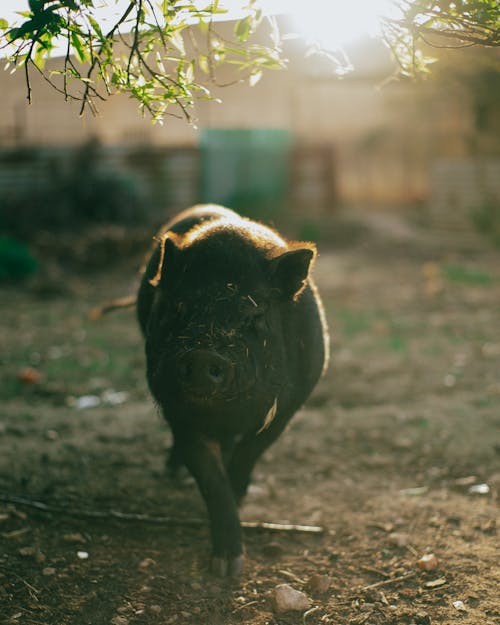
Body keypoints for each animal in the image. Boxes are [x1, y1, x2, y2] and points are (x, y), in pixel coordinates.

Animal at [137, 205, 330, 576]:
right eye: (179, 308)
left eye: (253, 315)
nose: (201, 356)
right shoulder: (177, 411)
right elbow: (211, 479)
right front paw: (226, 568)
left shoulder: (286, 409)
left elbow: (249, 453)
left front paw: (240, 495)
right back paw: (172, 473)